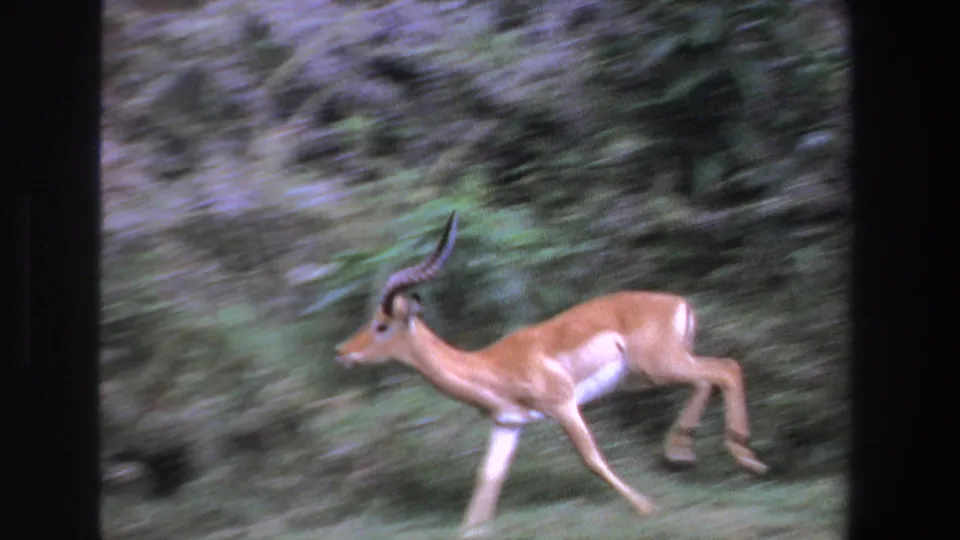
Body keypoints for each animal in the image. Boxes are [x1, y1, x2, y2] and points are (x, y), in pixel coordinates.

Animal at [334, 212, 768, 537]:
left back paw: (741, 458)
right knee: (713, 375)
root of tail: (680, 303)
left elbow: (592, 458)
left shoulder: (562, 404)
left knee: (726, 369)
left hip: (659, 367)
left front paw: (647, 507)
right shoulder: (508, 424)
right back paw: (686, 451)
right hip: (657, 371)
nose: (342, 352)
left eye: (381, 325)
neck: (490, 366)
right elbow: (488, 480)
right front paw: (473, 529)